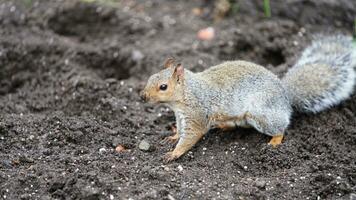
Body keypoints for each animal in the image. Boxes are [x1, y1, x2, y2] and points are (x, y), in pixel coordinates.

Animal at [140, 35, 356, 162]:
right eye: (149, 77)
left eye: (163, 87)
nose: (143, 97)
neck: (186, 94)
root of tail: (285, 96)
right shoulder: (181, 115)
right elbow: (180, 130)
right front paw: (173, 137)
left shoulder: (197, 114)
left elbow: (191, 135)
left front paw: (174, 153)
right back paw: (223, 126)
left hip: (261, 114)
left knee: (280, 128)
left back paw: (274, 143)